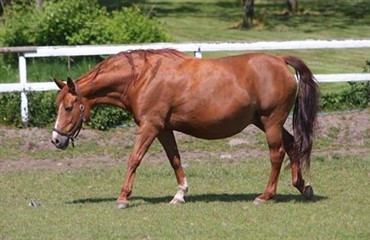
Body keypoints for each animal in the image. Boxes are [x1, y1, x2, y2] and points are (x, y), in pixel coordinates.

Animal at [50, 48, 320, 208]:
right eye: (57, 105)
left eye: (69, 107)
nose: (56, 140)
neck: (143, 77)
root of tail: (280, 60)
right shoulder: (163, 129)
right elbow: (175, 160)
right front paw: (180, 194)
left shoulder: (150, 127)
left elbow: (134, 158)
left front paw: (123, 198)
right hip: (264, 122)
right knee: (293, 145)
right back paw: (302, 186)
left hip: (271, 122)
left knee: (277, 154)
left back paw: (265, 196)